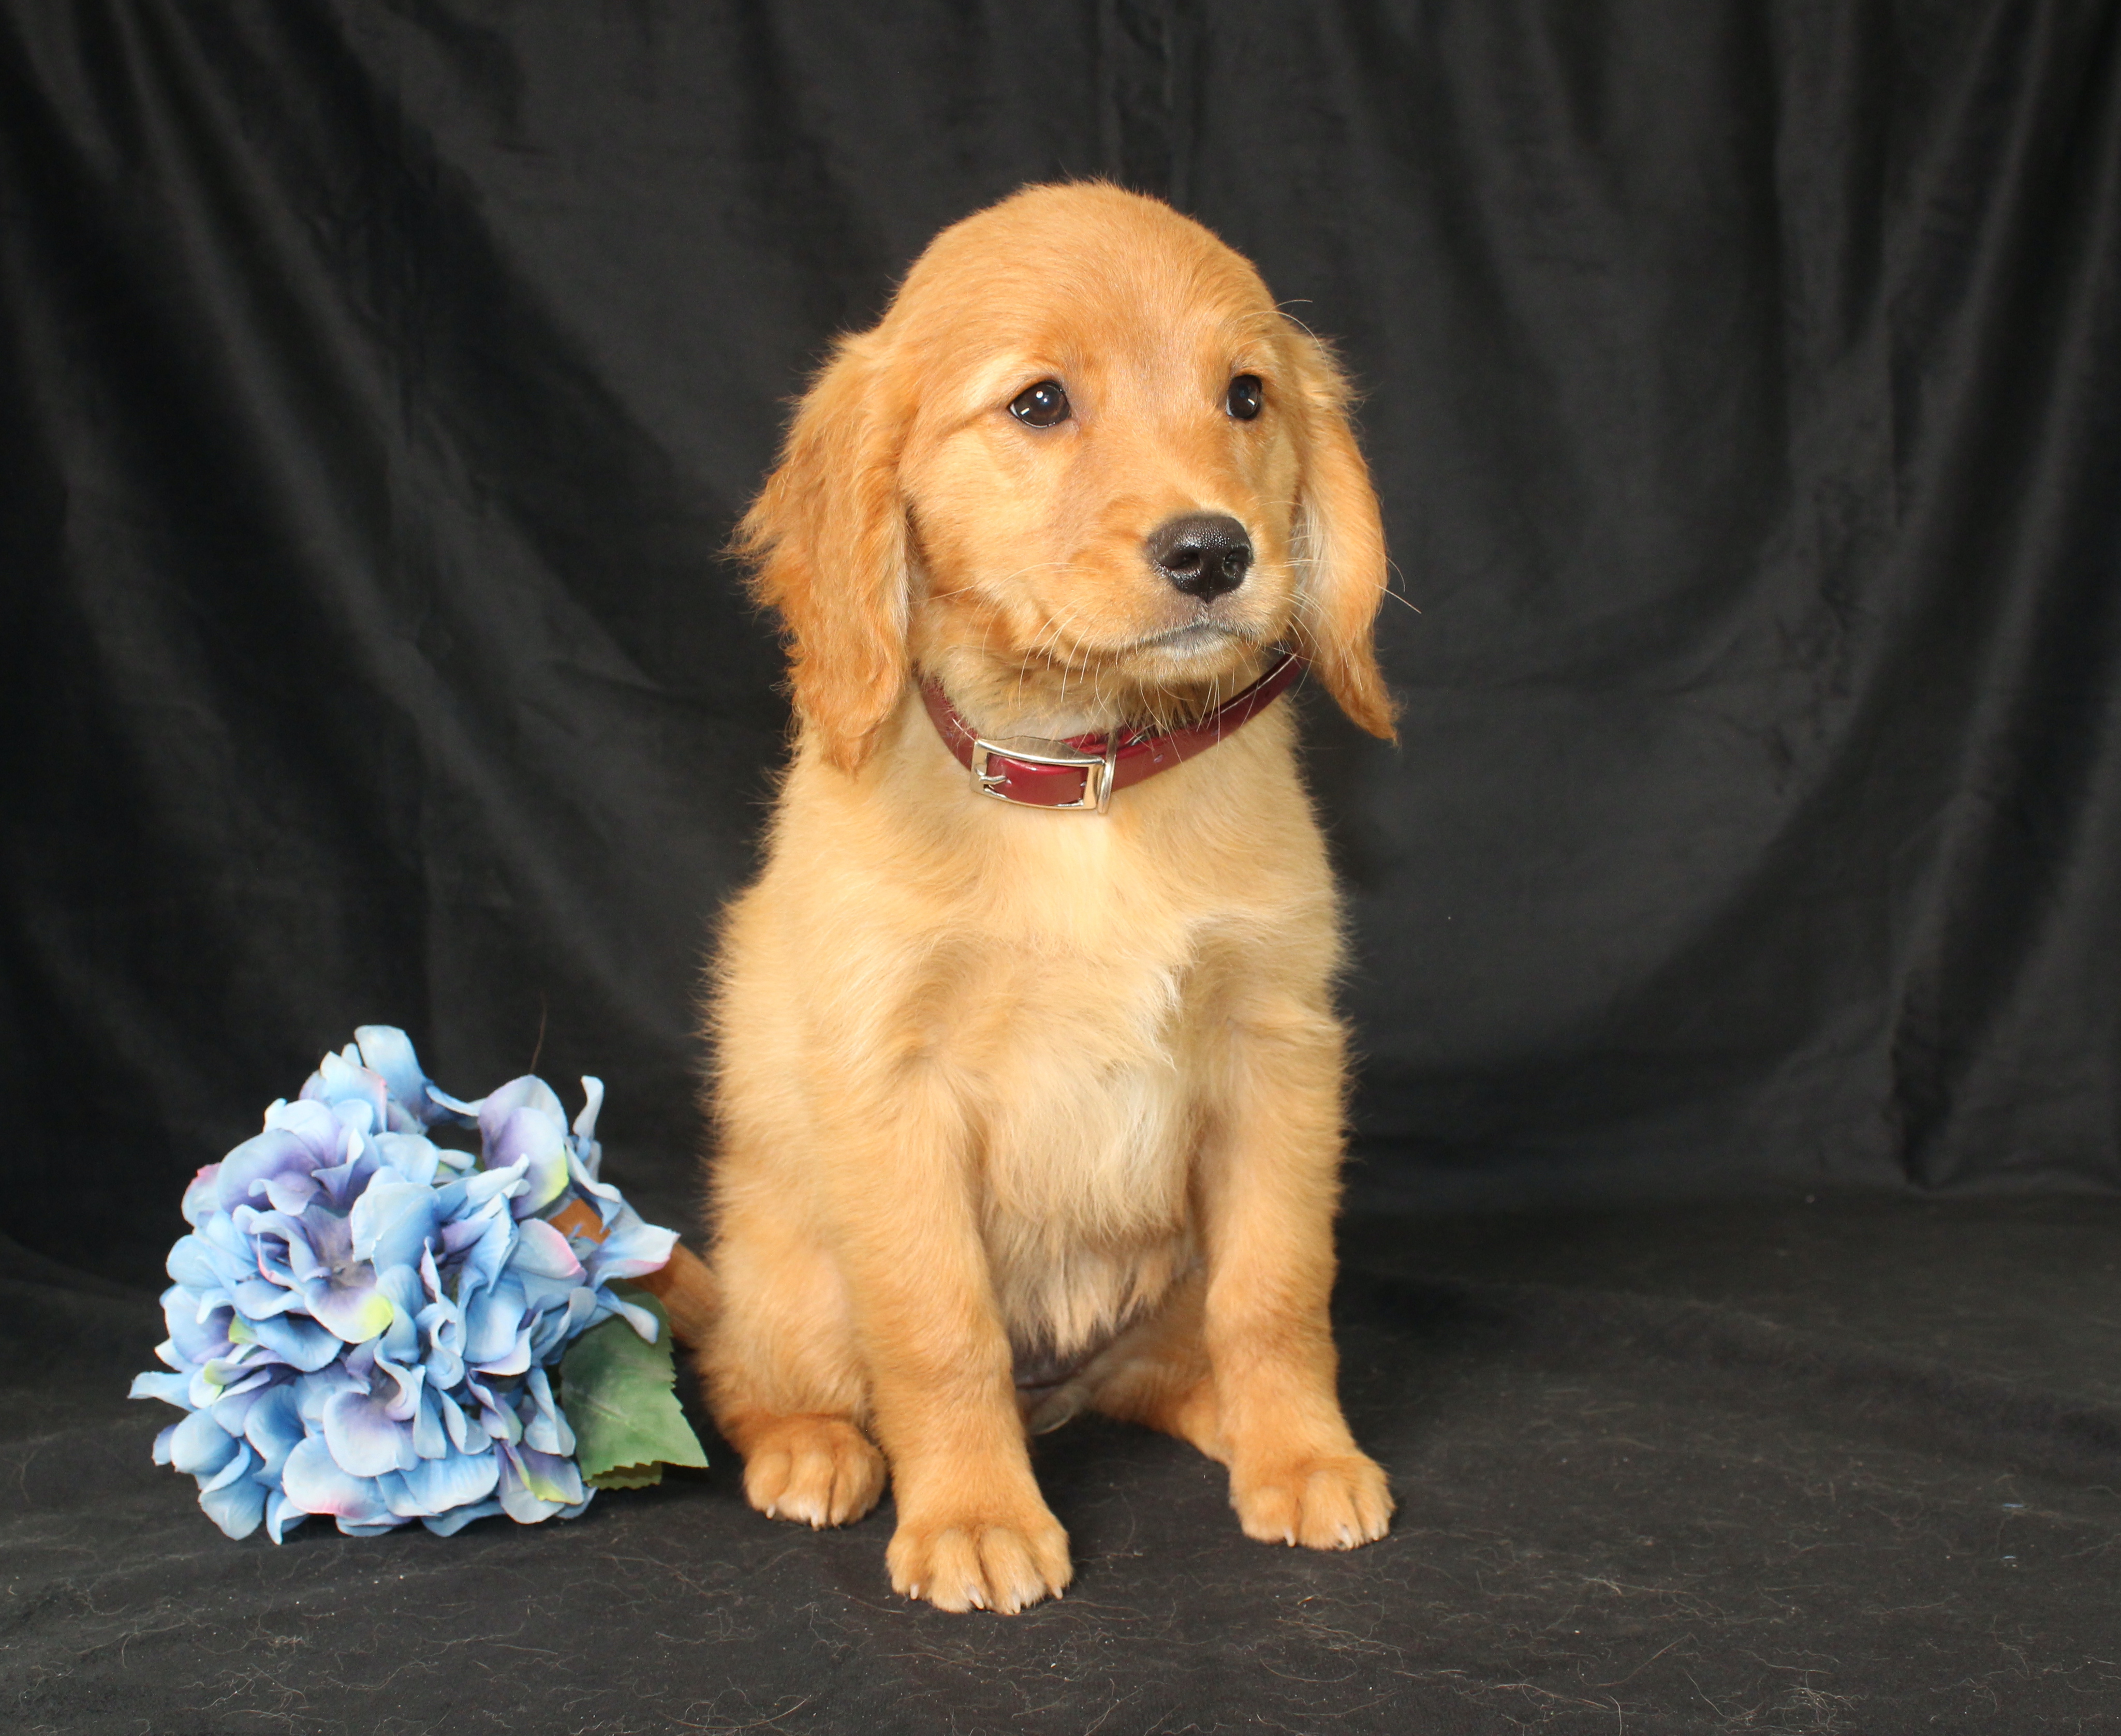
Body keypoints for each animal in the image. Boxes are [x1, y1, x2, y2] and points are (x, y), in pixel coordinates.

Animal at [687, 180, 1400, 1619]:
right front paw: (970, 1512)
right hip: (788, 1272)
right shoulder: (894, 1080)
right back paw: (815, 1448)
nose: (1214, 551)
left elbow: (1280, 1293)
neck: (1085, 780)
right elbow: (938, 1328)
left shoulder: (1277, 1049)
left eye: (1246, 397)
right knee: (747, 1372)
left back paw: (1230, 1419)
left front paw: (1303, 1455)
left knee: (1169, 1367)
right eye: (1037, 404)